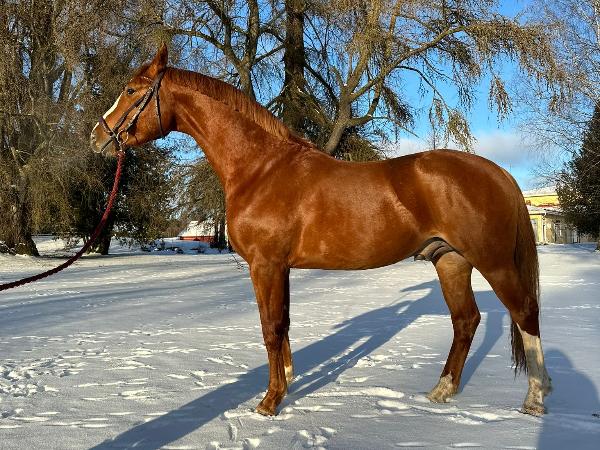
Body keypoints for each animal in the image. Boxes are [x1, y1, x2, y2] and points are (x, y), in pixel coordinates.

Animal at [90, 45, 552, 417]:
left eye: (131, 90)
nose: (98, 136)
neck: (261, 168)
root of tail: (497, 172)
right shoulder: (280, 268)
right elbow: (283, 324)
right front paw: (287, 384)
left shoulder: (267, 264)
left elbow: (271, 327)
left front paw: (269, 402)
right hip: (450, 261)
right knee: (466, 321)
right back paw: (441, 392)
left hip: (494, 262)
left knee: (525, 312)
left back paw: (534, 399)